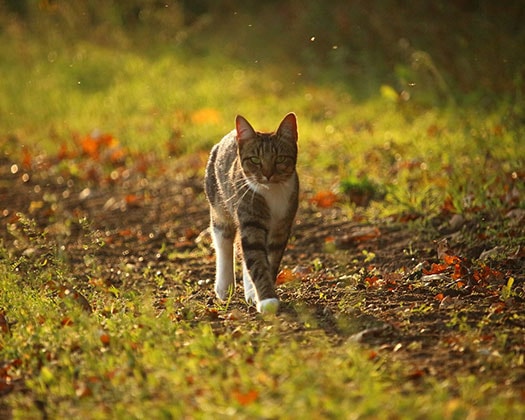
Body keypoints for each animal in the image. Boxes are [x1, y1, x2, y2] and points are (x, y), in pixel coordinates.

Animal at [203, 113, 296, 314]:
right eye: (255, 160)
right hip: (218, 202)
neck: (271, 191)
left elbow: (269, 260)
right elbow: (256, 258)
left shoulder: (282, 225)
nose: (268, 174)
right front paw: (268, 300)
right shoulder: (250, 216)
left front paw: (258, 295)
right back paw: (224, 286)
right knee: (223, 240)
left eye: (280, 159)